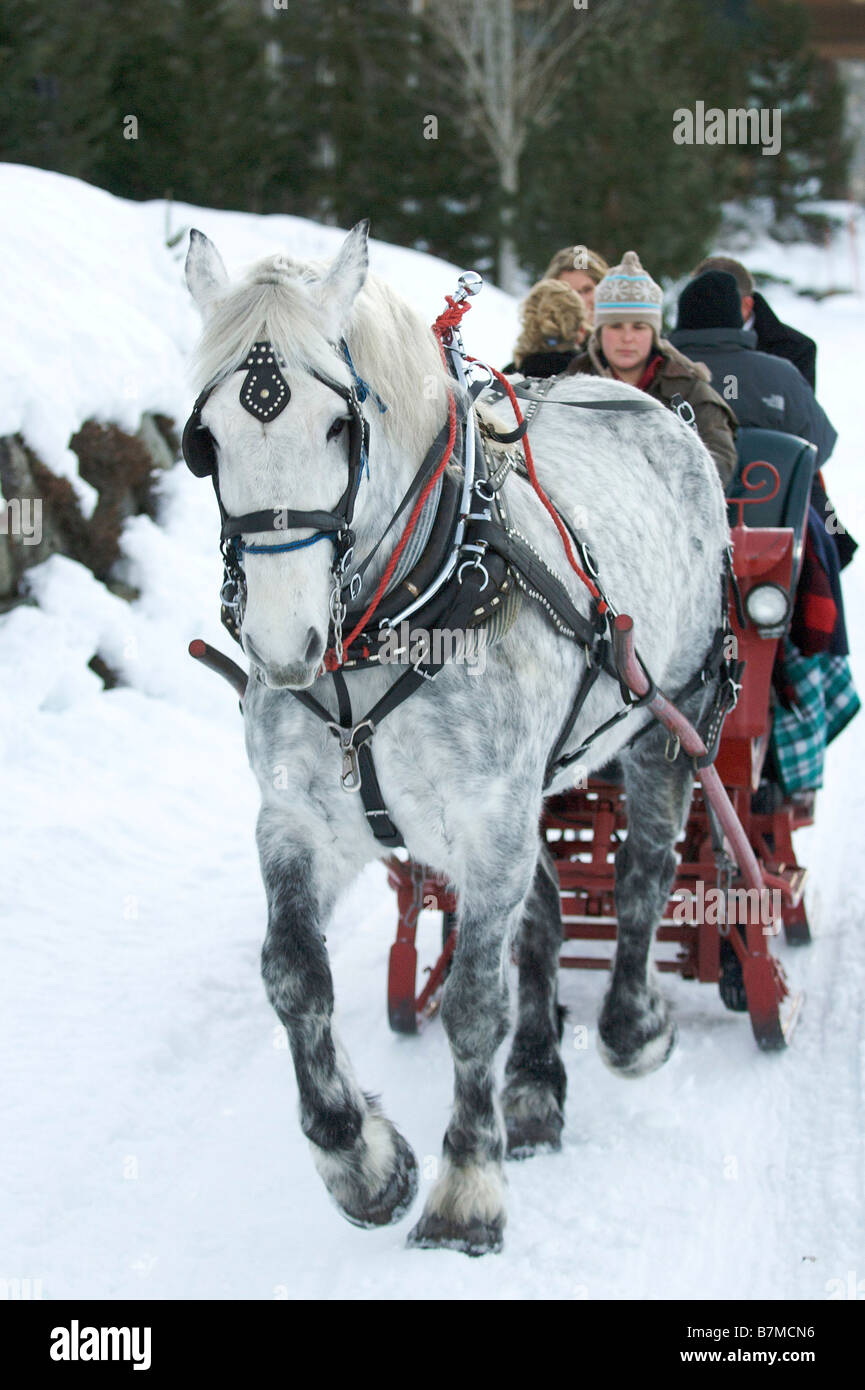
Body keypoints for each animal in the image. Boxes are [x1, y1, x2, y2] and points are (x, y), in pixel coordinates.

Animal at [184, 222, 734, 1256]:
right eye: (206, 441)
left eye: (339, 426)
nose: (282, 644)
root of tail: (648, 403)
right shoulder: (300, 818)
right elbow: (293, 976)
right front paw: (361, 1162)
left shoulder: (487, 824)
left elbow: (474, 1005)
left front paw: (465, 1189)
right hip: (529, 789)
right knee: (548, 914)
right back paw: (534, 1086)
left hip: (661, 717)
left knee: (641, 875)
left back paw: (630, 1025)